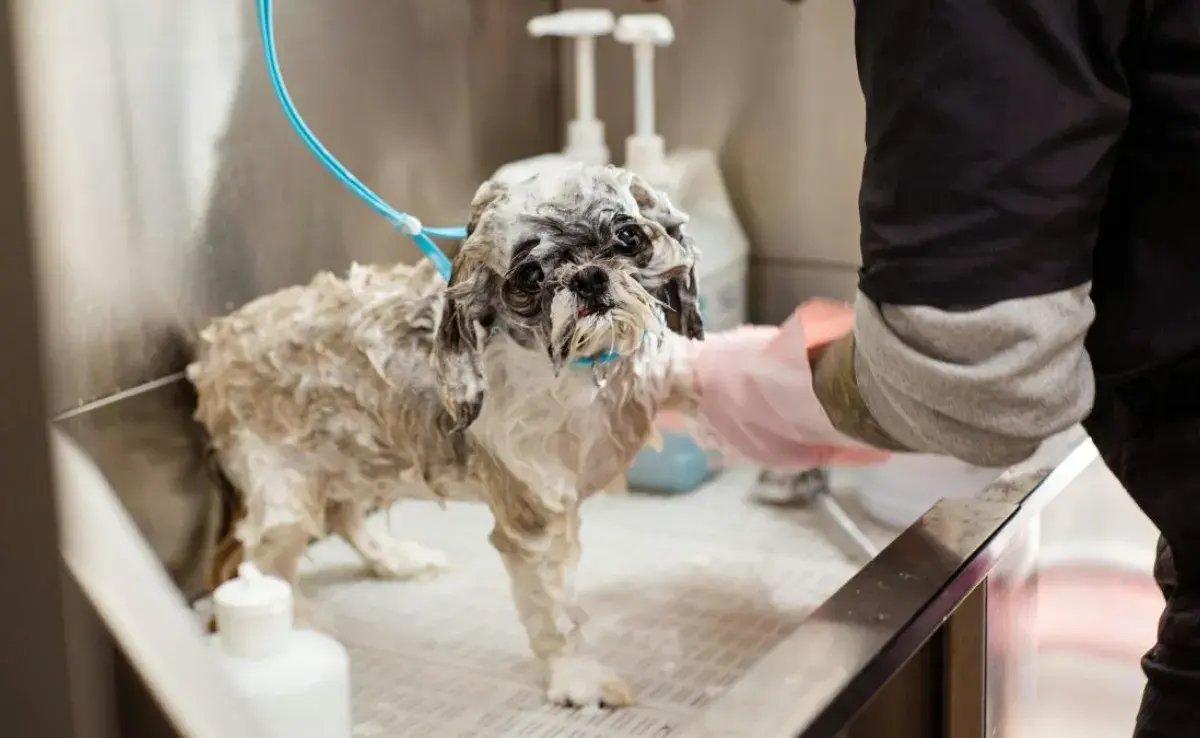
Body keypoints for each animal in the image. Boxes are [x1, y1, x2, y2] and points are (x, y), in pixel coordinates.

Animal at [189, 163, 700, 710]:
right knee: (251, 561)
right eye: (529, 275)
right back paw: (294, 619)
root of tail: (215, 344)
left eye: (628, 237)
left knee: (344, 515)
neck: (574, 375)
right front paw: (577, 678)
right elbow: (556, 611)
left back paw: (395, 559)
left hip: (356, 453)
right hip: (283, 490)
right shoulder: (533, 515)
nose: (589, 277)